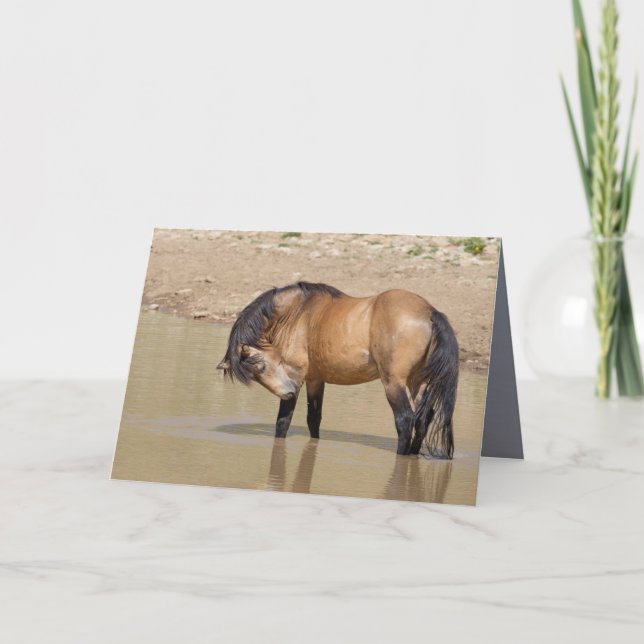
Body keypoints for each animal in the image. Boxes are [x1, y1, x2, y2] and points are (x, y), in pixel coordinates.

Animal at [217, 282, 459, 458]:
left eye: (261, 365)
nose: (289, 391)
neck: (297, 313)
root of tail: (429, 312)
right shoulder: (315, 380)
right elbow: (314, 418)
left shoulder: (296, 376)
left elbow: (283, 422)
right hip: (418, 382)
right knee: (423, 418)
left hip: (394, 382)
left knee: (405, 420)